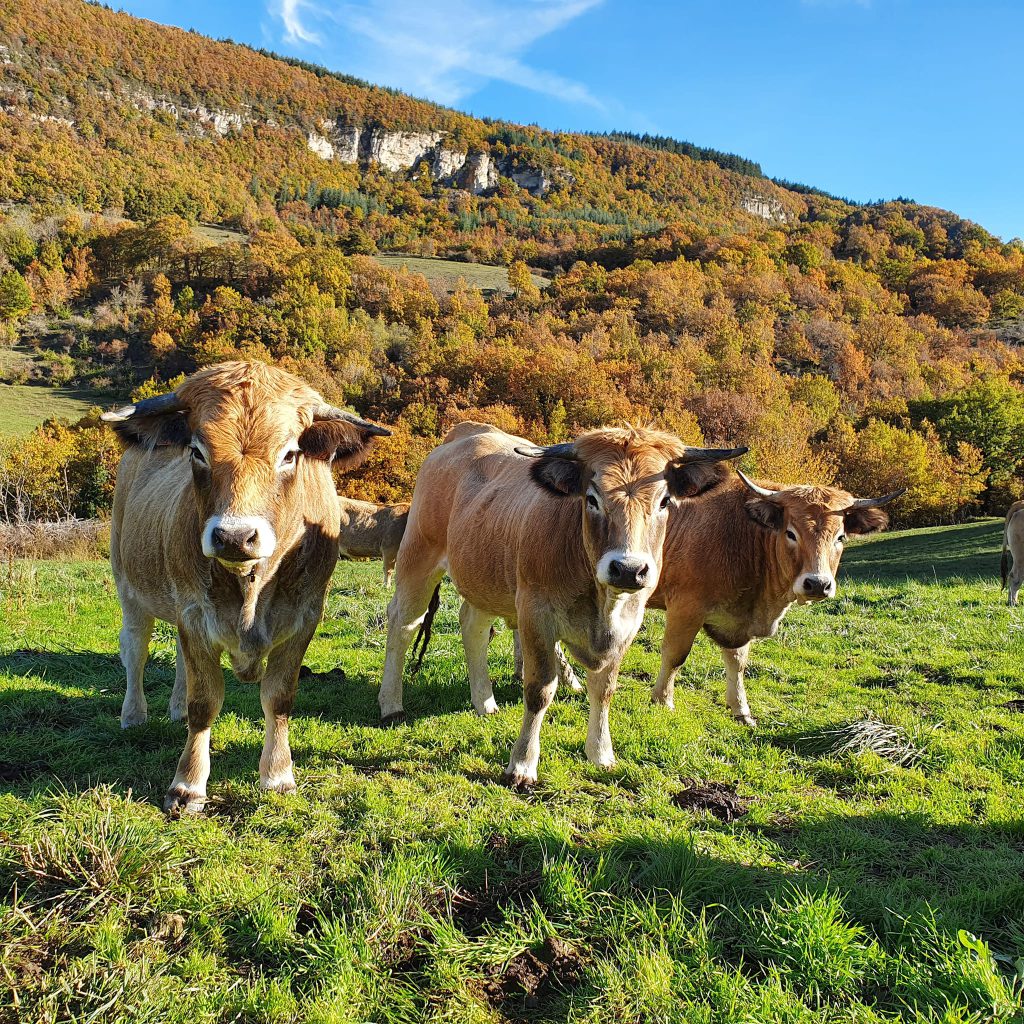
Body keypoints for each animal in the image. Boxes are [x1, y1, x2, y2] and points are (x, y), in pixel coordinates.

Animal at [103, 361, 389, 814]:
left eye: (289, 454)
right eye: (197, 452)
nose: (234, 537)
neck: (251, 590)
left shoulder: (305, 616)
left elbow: (278, 697)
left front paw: (278, 775)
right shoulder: (194, 613)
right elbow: (205, 702)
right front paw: (188, 784)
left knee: (179, 660)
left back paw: (174, 710)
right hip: (128, 586)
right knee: (136, 649)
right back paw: (134, 715)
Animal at [377, 421, 745, 787]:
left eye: (664, 500)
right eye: (592, 498)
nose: (628, 568)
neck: (602, 605)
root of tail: (467, 433)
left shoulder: (628, 624)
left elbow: (605, 689)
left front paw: (601, 753)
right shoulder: (535, 615)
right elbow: (539, 689)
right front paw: (522, 764)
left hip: (483, 575)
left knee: (473, 627)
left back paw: (484, 701)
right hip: (418, 557)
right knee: (403, 625)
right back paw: (391, 704)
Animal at [648, 470, 903, 725]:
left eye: (840, 538)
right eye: (791, 533)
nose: (818, 584)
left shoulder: (738, 622)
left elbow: (737, 663)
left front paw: (741, 710)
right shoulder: (685, 609)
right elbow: (675, 655)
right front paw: (663, 700)